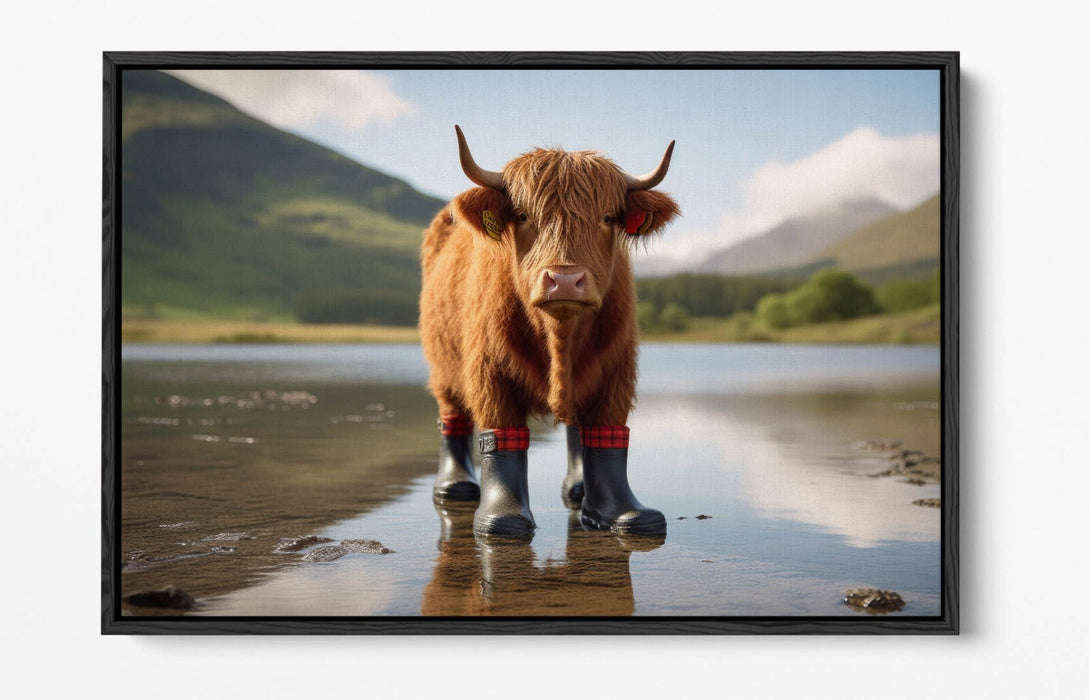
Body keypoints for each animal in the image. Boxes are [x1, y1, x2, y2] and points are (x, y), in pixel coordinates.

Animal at [420, 125, 679, 539]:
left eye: (607, 216)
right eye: (523, 215)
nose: (565, 280)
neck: (559, 333)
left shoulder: (617, 370)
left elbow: (607, 434)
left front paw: (622, 514)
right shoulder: (489, 372)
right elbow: (502, 437)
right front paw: (503, 518)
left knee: (576, 427)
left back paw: (577, 489)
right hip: (442, 369)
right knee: (452, 419)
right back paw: (455, 486)